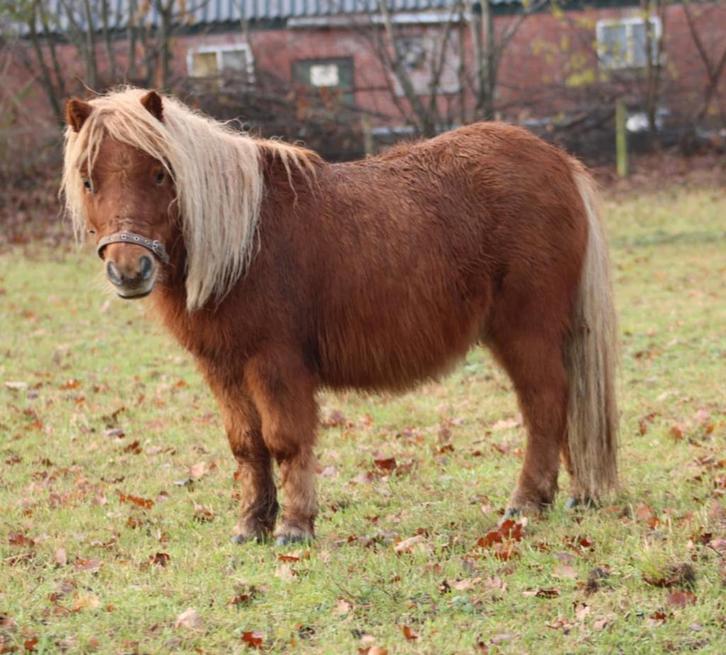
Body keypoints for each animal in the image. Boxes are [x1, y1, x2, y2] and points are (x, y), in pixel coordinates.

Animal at [61, 87, 618, 545]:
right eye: (89, 181)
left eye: (159, 173)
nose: (129, 270)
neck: (245, 240)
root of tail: (558, 161)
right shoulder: (222, 368)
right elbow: (247, 446)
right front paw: (251, 526)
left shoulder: (275, 363)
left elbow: (285, 441)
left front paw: (294, 528)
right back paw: (570, 495)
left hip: (526, 331)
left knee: (544, 406)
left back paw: (526, 503)